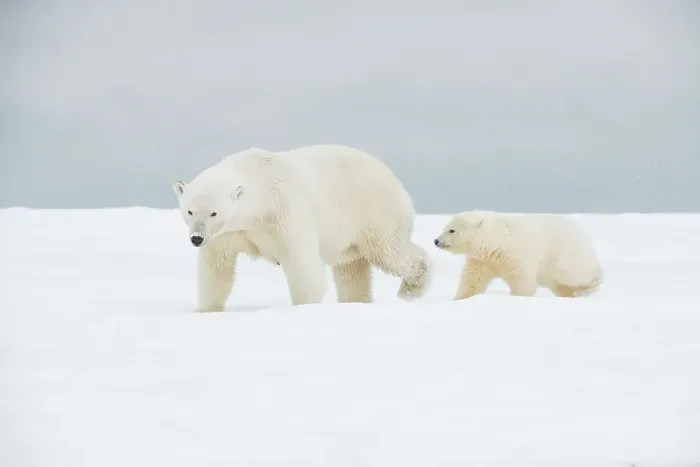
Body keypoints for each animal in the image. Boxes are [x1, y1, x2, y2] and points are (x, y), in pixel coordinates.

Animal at [172, 144, 432, 311]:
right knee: (351, 270)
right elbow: (217, 268)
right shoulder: (229, 233)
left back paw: (412, 288)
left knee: (390, 251)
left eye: (214, 212)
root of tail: (394, 178)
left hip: (374, 213)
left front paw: (304, 308)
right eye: (190, 211)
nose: (196, 238)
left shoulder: (284, 212)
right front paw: (208, 309)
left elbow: (301, 263)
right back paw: (355, 302)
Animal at [433, 210, 602, 300]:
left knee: (576, 274)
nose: (436, 240)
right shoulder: (482, 259)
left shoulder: (516, 254)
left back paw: (593, 282)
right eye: (445, 228)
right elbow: (472, 279)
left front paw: (519, 297)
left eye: (452, 230)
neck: (497, 240)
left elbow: (522, 279)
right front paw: (460, 298)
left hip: (565, 255)